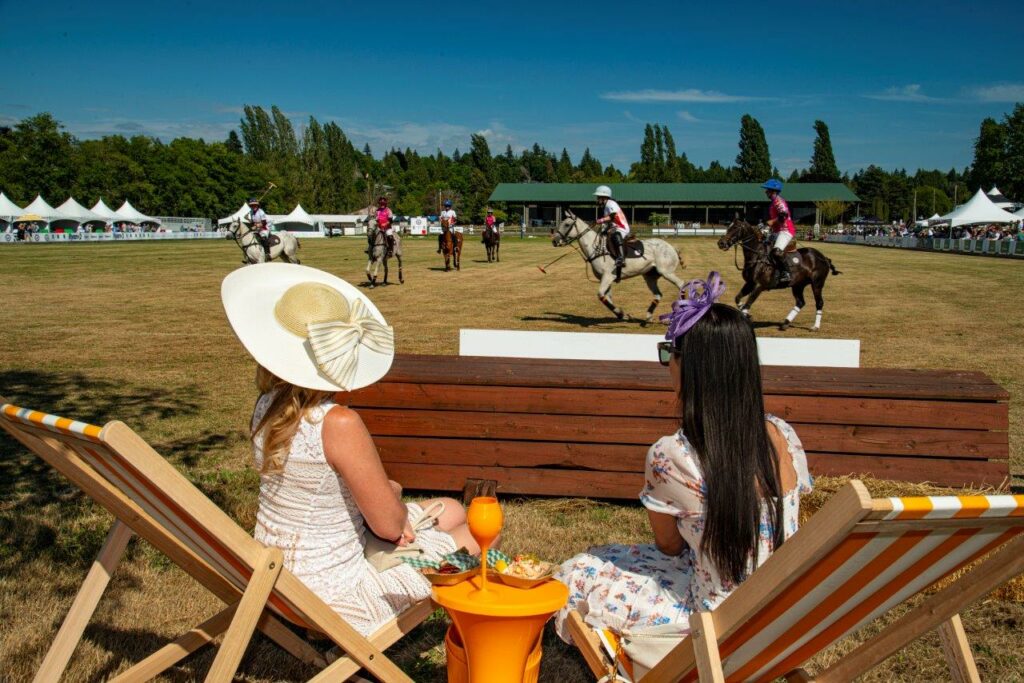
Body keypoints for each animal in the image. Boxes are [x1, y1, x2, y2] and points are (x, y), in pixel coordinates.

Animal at [552, 210, 688, 323]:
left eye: (567, 224)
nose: (554, 241)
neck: (596, 248)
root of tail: (672, 247)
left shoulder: (608, 276)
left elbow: (601, 295)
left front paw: (621, 314)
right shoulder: (604, 278)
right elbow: (607, 297)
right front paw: (622, 314)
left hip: (666, 272)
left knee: (681, 284)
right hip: (650, 276)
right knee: (658, 294)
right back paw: (648, 317)